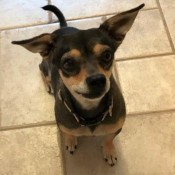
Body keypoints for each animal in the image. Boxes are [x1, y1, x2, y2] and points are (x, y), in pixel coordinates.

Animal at [11, 3, 144, 166]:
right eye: (68, 63)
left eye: (107, 55)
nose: (97, 79)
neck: (90, 111)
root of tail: (62, 27)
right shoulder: (64, 126)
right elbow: (69, 134)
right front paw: (70, 141)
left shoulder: (115, 128)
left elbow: (108, 139)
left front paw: (109, 151)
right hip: (46, 66)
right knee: (41, 68)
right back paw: (48, 84)